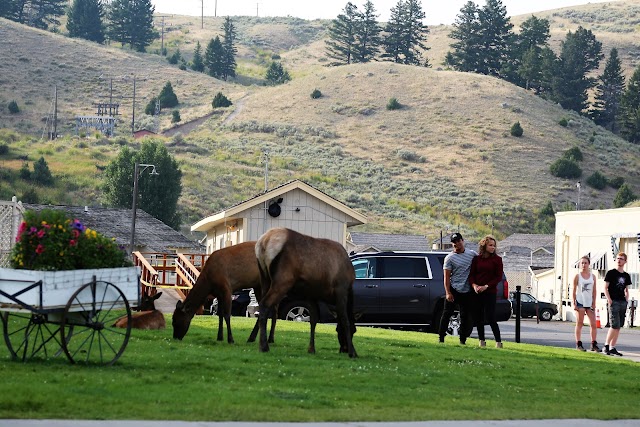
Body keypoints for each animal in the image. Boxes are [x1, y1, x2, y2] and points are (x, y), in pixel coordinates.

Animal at [254, 227, 356, 358]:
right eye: (354, 330)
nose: (344, 349)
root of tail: (263, 242)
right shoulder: (341, 289)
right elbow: (345, 319)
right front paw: (353, 352)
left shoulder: (311, 294)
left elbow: (313, 321)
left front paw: (311, 349)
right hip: (283, 280)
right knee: (265, 304)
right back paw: (264, 346)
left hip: (264, 278)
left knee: (263, 305)